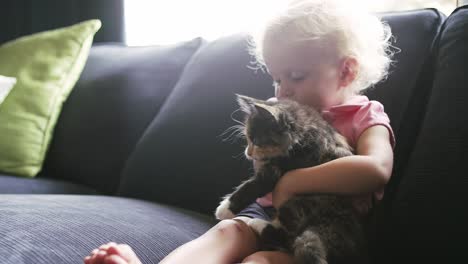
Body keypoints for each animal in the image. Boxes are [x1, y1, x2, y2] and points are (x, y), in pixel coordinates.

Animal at [216, 94, 370, 264]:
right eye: (248, 139)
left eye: (256, 141)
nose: (248, 153)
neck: (303, 134)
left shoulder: (278, 169)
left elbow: (254, 185)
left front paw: (224, 209)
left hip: (300, 202)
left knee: (287, 240)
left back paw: (254, 222)